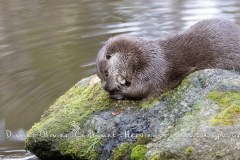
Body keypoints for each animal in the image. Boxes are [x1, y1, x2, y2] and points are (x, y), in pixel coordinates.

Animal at [95, 18, 240, 99]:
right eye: (99, 76)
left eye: (106, 73)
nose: (105, 87)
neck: (139, 56)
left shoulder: (152, 69)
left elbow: (141, 89)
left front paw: (119, 92)